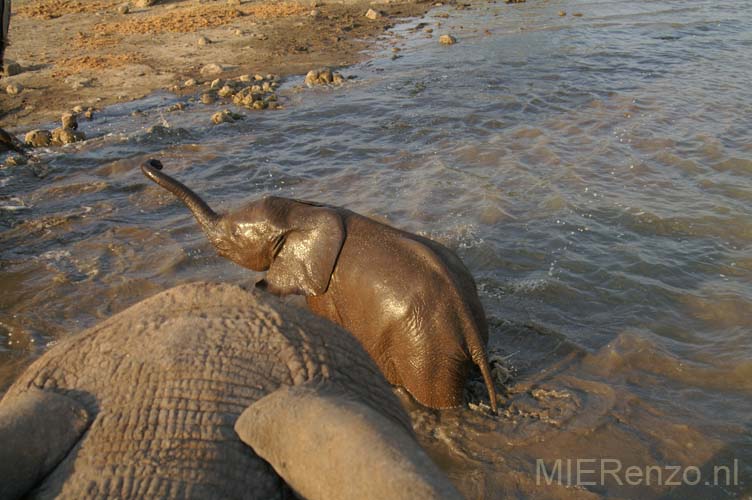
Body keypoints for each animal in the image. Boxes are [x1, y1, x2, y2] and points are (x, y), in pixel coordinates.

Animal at [142, 158, 500, 412]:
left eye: (233, 236)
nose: (158, 162)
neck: (302, 211)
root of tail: (467, 326)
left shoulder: (323, 289)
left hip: (425, 354)